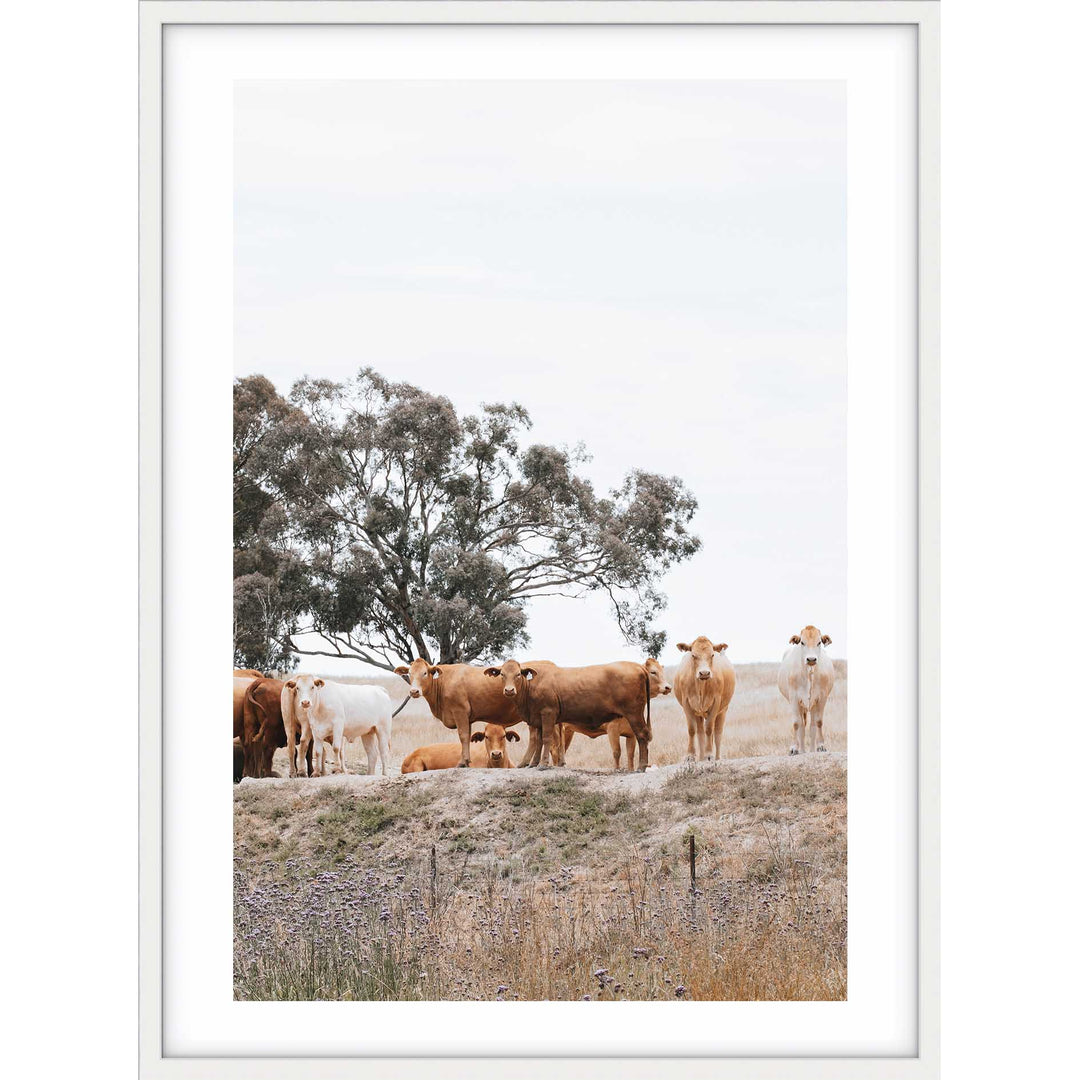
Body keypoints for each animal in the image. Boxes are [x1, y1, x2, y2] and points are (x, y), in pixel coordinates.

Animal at [393, 659, 529, 768]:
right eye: (409, 673)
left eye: (424, 673)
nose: (414, 691)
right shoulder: (467, 718)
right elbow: (467, 737)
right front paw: (466, 761)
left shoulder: (460, 711)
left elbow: (463, 736)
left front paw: (463, 763)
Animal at [484, 660, 654, 771]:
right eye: (502, 674)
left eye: (518, 674)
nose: (509, 690)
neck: (533, 686)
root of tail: (638, 666)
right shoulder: (537, 719)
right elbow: (538, 741)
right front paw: (533, 764)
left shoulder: (548, 713)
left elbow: (546, 739)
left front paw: (543, 764)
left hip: (634, 714)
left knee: (642, 735)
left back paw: (641, 766)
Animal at [778, 626, 835, 754]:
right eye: (802, 642)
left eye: (819, 642)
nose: (811, 659)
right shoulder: (794, 699)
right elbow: (796, 723)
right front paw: (794, 748)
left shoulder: (822, 698)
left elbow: (819, 722)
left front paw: (821, 746)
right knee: (802, 727)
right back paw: (803, 750)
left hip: (813, 705)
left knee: (812, 726)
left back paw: (812, 750)